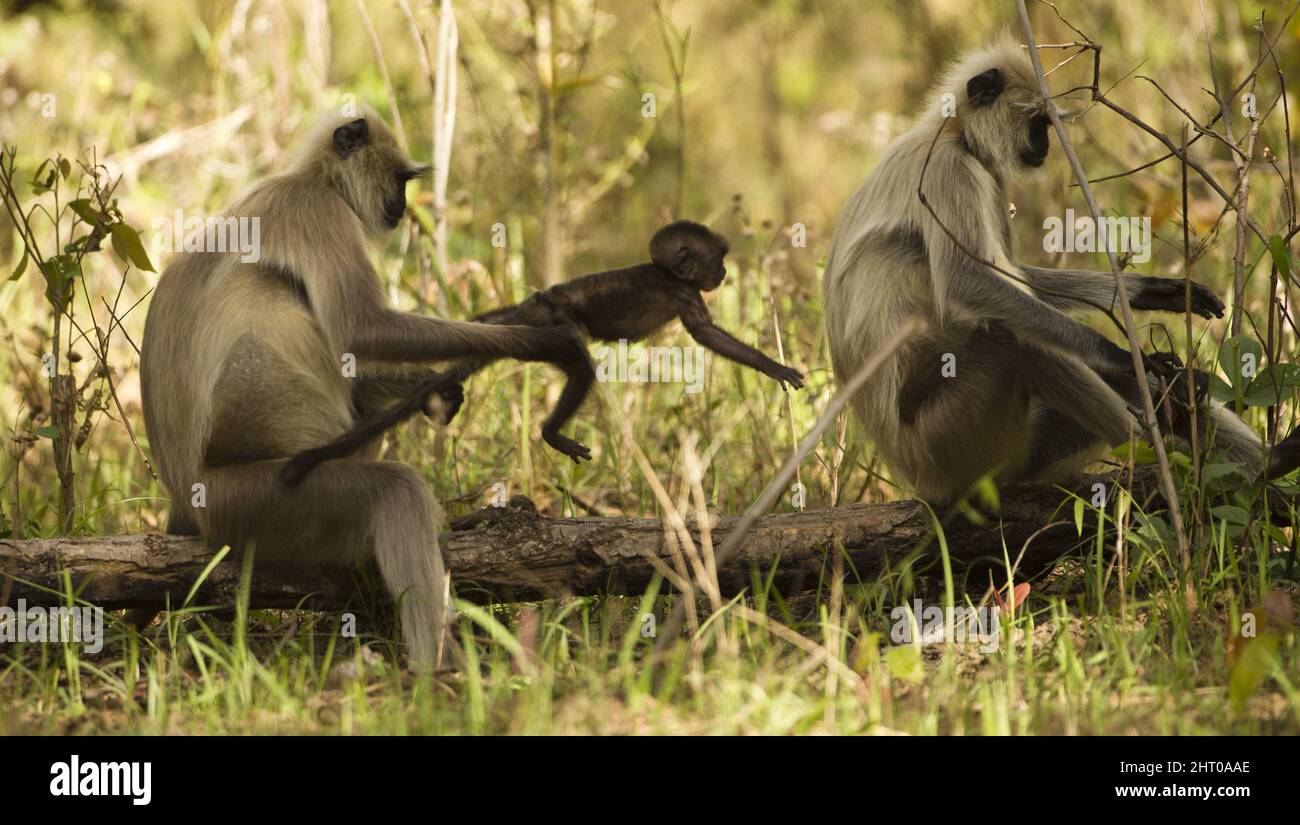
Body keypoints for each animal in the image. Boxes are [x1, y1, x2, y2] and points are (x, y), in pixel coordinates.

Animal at [139, 104, 582, 670]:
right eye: (401, 180)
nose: (403, 206)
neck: (315, 178)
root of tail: (183, 495)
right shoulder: (316, 213)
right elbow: (360, 327)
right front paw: (534, 337)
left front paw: (438, 389)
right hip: (250, 500)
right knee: (395, 489)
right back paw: (433, 673)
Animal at [284, 220, 800, 483]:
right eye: (719, 260)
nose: (725, 274)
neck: (666, 274)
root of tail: (533, 308)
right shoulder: (683, 294)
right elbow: (708, 335)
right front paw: (772, 365)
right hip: (551, 324)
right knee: (582, 363)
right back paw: (551, 430)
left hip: (519, 319)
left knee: (487, 325)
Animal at [821, 40, 1258, 504]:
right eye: (1038, 124)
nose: (1046, 145)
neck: (955, 132)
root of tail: (918, 480)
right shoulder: (950, 169)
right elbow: (967, 281)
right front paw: (1123, 356)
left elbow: (1014, 276)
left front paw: (1152, 293)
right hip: (949, 444)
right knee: (1013, 343)